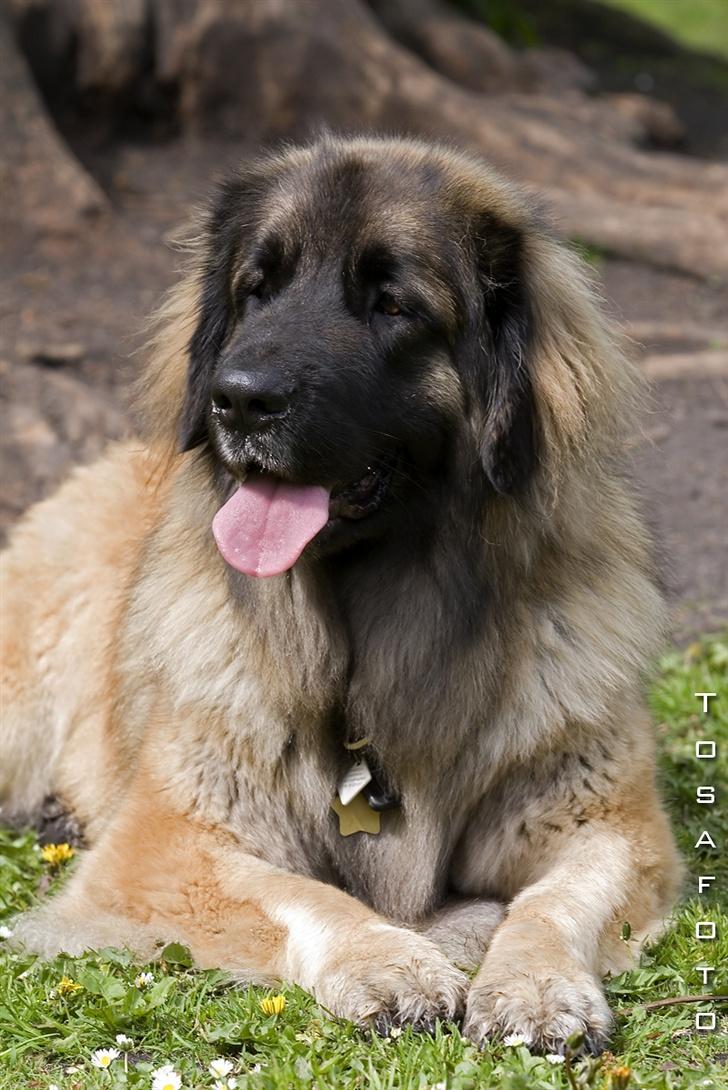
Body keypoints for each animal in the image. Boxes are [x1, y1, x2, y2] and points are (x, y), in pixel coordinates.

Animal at [1, 131, 684, 1050]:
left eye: (392, 306)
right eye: (256, 289)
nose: (239, 400)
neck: (377, 627)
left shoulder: (605, 824)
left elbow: (553, 902)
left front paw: (536, 984)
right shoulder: (171, 843)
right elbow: (300, 892)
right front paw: (388, 959)